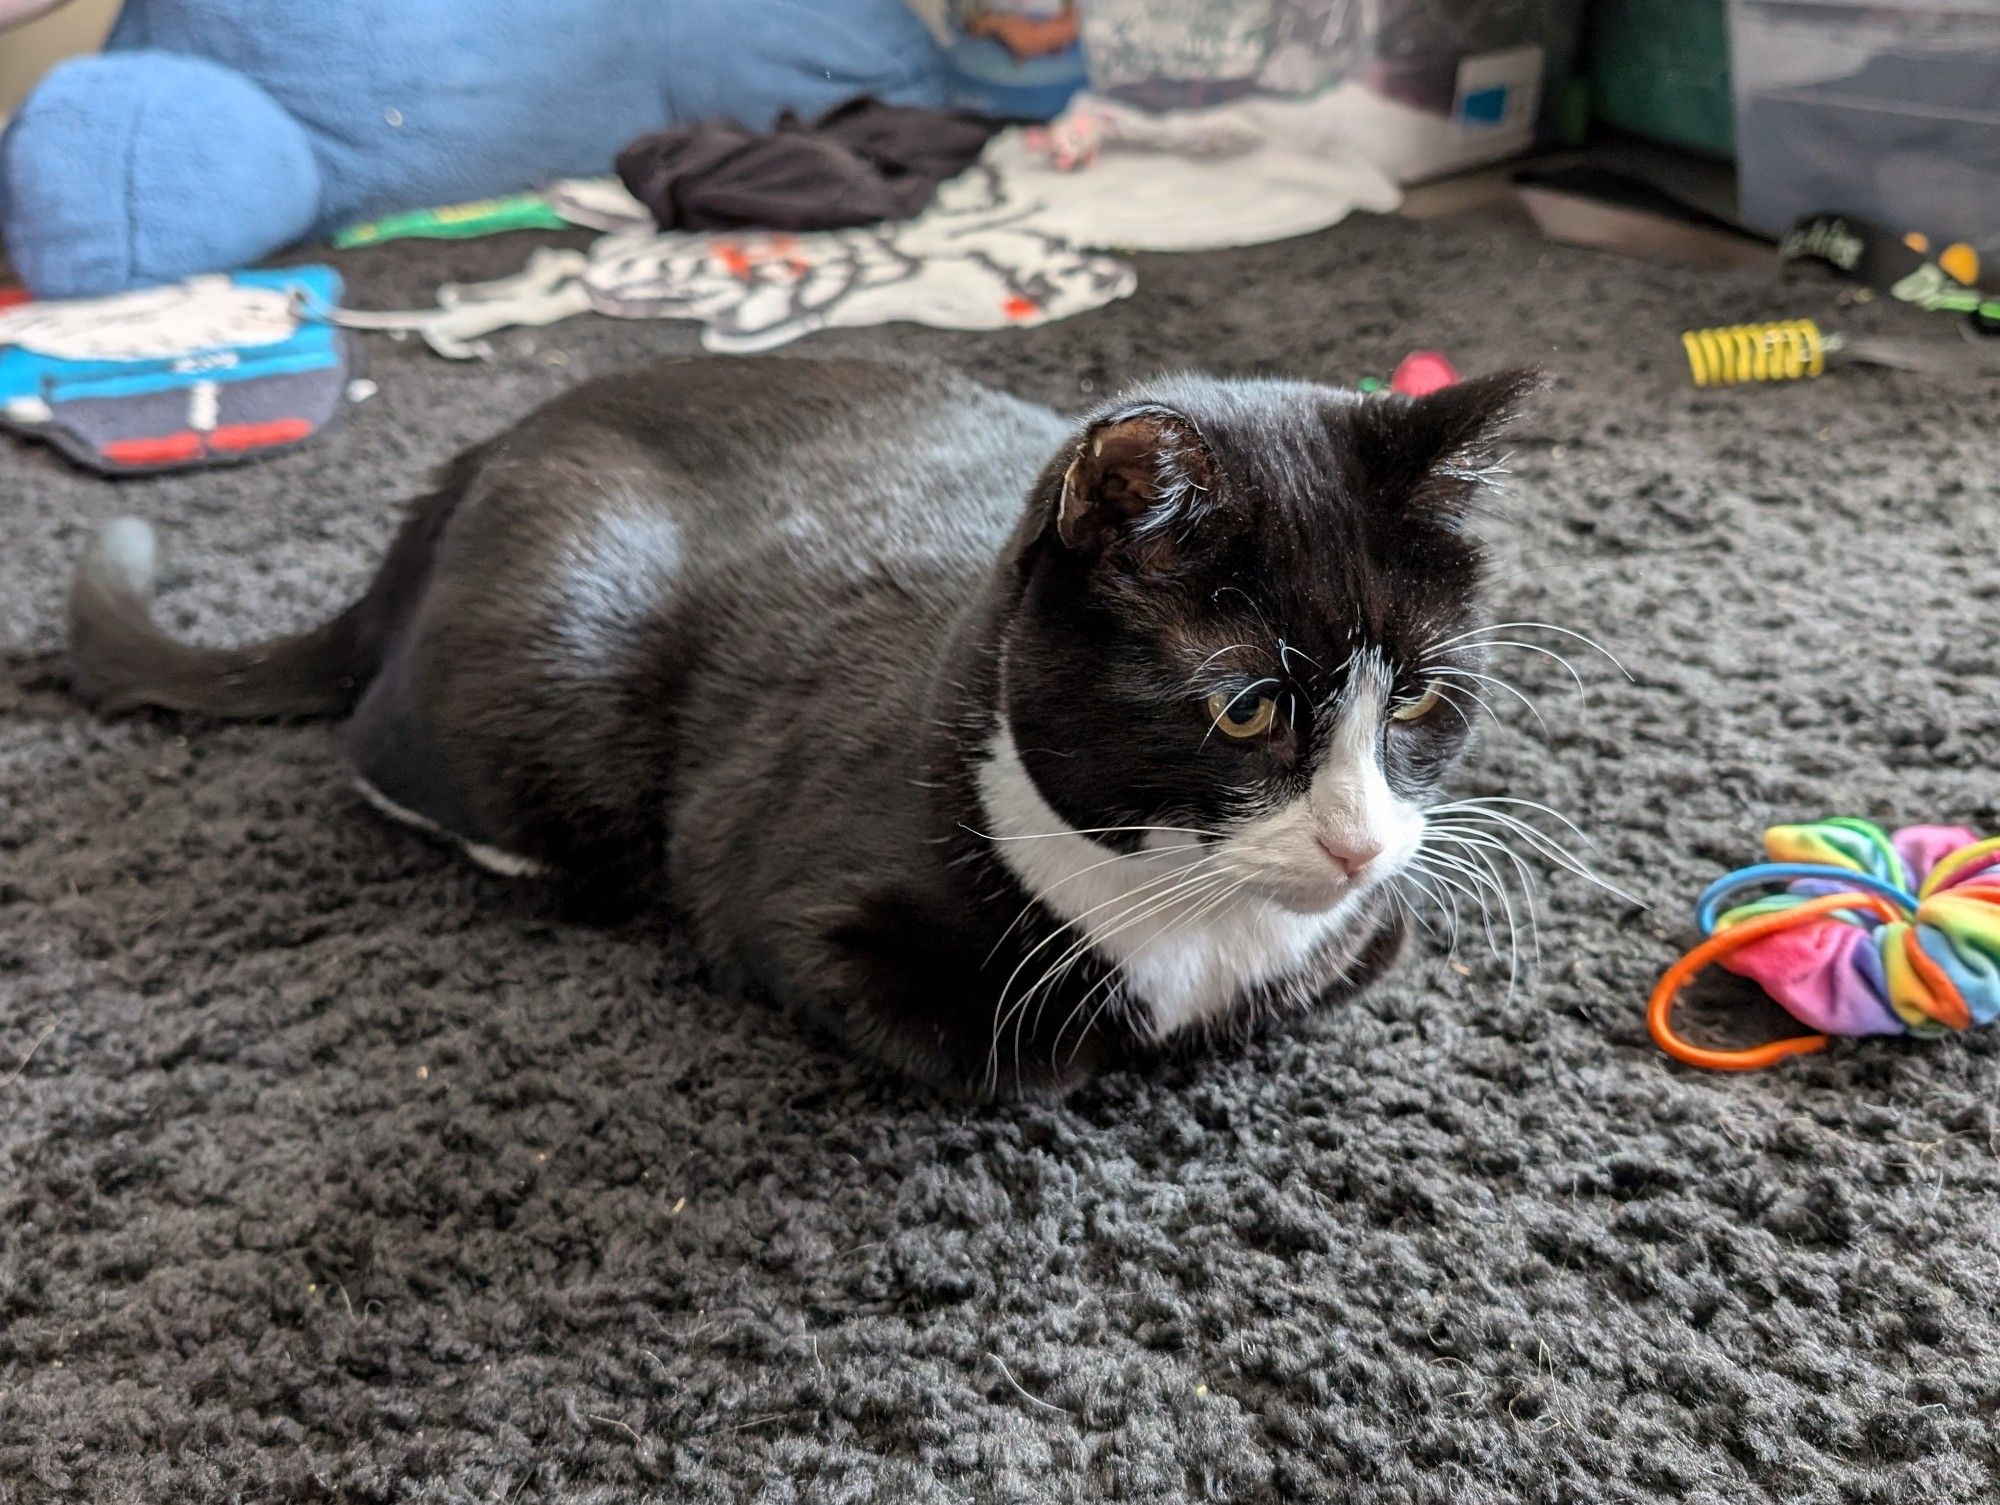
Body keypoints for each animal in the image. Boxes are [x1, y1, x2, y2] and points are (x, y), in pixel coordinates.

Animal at [62, 360, 1528, 1096]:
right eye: (1245, 707)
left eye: (1416, 695)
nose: (1354, 843)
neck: (1194, 923)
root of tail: (474, 455)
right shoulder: (794, 899)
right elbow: (1012, 1052)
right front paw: (1094, 1039)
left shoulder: (1367, 929)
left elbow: (1349, 959)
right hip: (556, 678)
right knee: (395, 754)